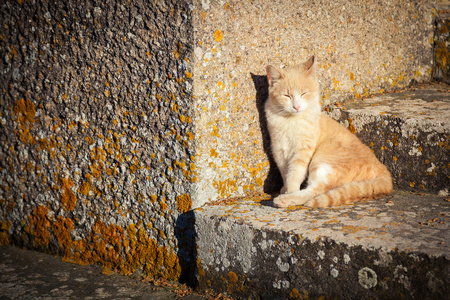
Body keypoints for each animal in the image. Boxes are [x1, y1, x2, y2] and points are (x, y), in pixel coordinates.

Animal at [266, 55, 392, 207]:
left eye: (303, 94)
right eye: (287, 96)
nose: (296, 106)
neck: (291, 120)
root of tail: (383, 170)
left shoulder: (303, 150)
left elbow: (295, 174)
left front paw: (289, 190)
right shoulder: (279, 149)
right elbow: (285, 172)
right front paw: (285, 187)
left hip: (322, 161)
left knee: (316, 190)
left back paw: (285, 199)